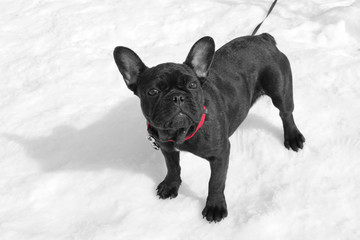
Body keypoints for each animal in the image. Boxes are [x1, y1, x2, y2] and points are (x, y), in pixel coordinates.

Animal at [112, 32, 304, 222]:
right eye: (152, 92)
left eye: (192, 85)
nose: (177, 97)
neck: (181, 132)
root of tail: (262, 38)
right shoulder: (167, 148)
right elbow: (172, 167)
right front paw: (171, 185)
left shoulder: (220, 154)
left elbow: (216, 182)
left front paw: (215, 206)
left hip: (280, 90)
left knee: (286, 113)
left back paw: (292, 137)